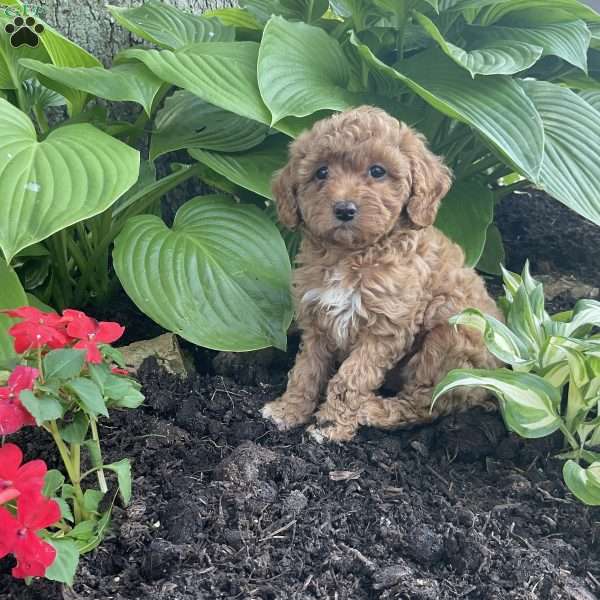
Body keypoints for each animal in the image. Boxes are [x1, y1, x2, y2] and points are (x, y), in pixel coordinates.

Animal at [262, 105, 502, 442]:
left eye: (377, 171)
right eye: (321, 172)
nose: (344, 209)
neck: (352, 255)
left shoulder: (385, 329)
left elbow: (350, 379)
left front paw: (330, 426)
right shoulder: (317, 319)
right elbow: (306, 370)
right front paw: (288, 411)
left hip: (450, 338)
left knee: (425, 403)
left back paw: (373, 410)